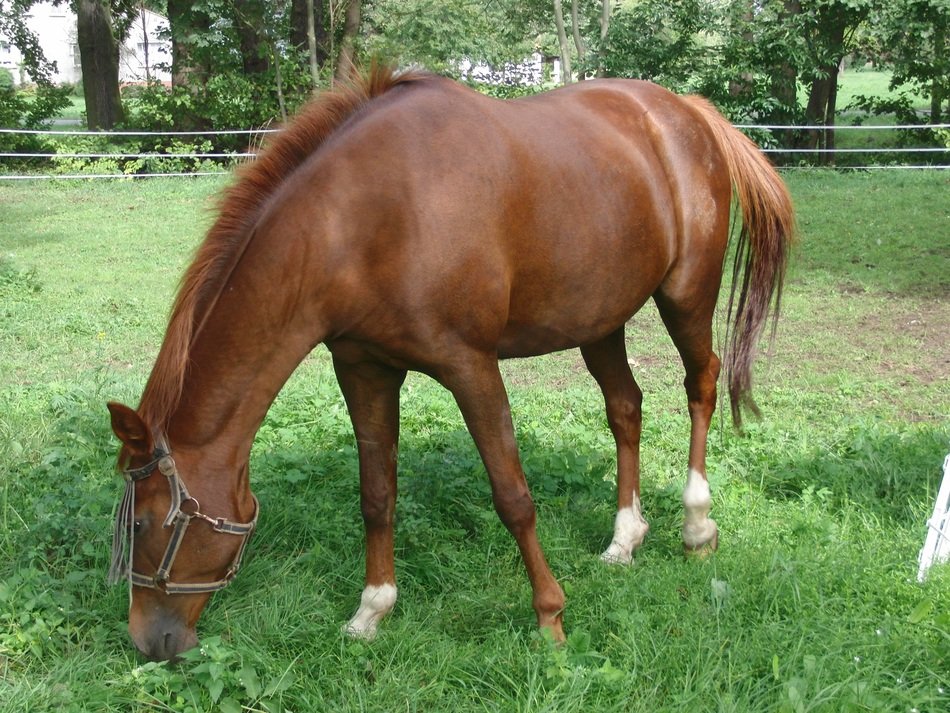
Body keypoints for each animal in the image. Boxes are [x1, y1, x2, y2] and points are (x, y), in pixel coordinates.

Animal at [106, 65, 794, 661]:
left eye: (143, 524)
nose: (148, 640)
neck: (364, 219)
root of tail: (688, 112)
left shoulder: (470, 366)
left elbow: (513, 495)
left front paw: (550, 617)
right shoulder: (364, 369)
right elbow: (376, 494)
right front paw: (371, 612)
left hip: (686, 296)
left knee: (702, 383)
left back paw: (697, 527)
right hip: (601, 320)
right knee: (626, 408)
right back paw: (624, 540)